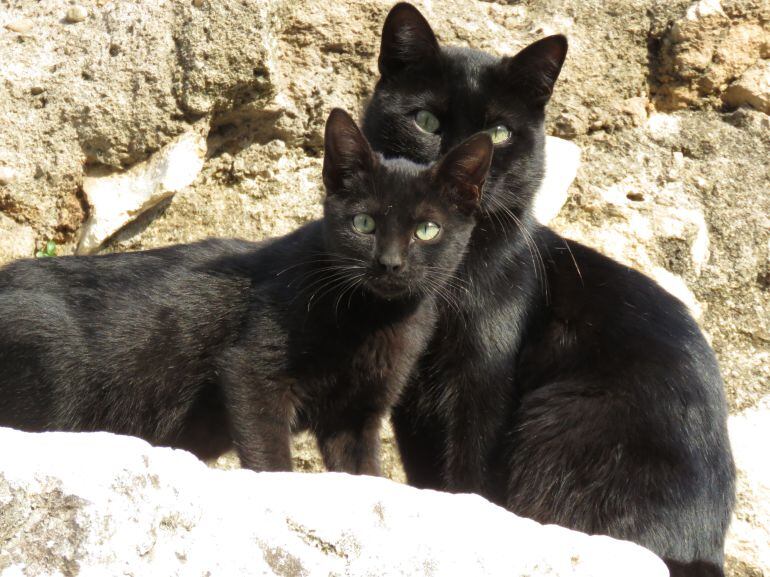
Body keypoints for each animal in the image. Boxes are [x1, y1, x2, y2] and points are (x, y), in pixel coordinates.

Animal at [0, 109, 492, 476]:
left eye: (427, 230)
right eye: (364, 223)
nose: (389, 263)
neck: (373, 319)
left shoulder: (356, 417)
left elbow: (365, 475)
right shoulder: (252, 374)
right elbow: (271, 460)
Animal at [364, 2, 736, 572]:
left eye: (498, 133)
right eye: (425, 121)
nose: (461, 167)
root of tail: (703, 552)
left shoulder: (483, 379)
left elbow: (471, 468)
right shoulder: (413, 392)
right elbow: (429, 472)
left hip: (562, 420)